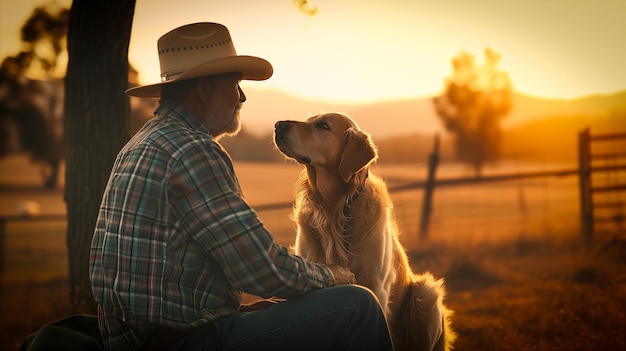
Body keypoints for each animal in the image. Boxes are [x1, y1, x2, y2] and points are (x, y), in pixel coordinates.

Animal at [272, 113, 454, 351]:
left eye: (323, 126)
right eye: (309, 119)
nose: (278, 126)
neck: (334, 208)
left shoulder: (377, 286)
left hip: (426, 294)